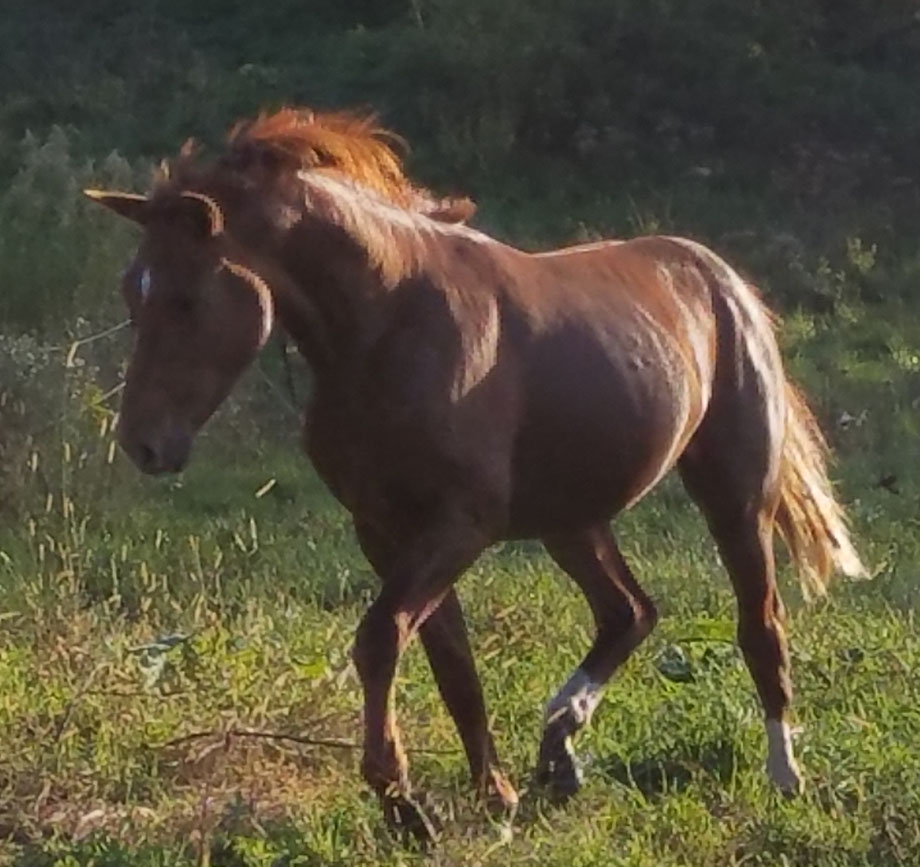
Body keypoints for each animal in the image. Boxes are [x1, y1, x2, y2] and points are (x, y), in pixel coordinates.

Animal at [85, 107, 866, 840]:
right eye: (130, 291)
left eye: (185, 299)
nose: (143, 444)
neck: (389, 325)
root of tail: (720, 276)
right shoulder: (387, 531)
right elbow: (450, 663)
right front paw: (494, 797)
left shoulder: (459, 526)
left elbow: (380, 640)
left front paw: (403, 803)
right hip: (572, 521)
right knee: (630, 611)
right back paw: (559, 750)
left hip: (734, 497)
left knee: (758, 623)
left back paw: (784, 775)